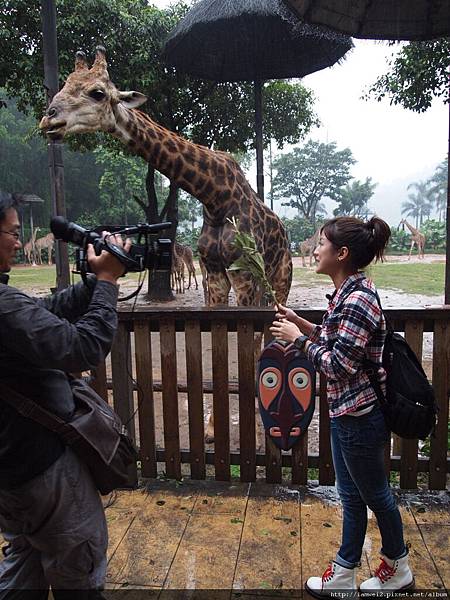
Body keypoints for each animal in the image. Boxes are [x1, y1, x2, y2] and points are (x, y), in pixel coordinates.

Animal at [40, 45, 294, 440]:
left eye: (97, 92)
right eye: (63, 84)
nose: (48, 119)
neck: (214, 196)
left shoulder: (243, 275)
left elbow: (243, 347)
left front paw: (250, 424)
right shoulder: (213, 275)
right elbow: (218, 351)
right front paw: (211, 427)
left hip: (279, 278)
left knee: (269, 333)